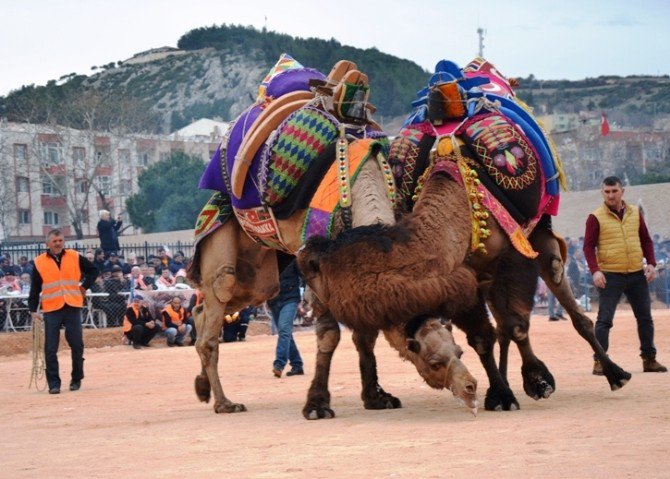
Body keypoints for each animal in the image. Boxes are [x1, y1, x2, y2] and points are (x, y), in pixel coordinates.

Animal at [186, 55, 480, 416]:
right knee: (217, 305)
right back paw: (225, 402)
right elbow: (329, 335)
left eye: (460, 351)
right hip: (223, 240)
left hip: (259, 272)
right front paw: (317, 404)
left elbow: (365, 335)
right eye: (433, 360)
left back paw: (202, 388)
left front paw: (377, 397)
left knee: (208, 309)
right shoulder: (313, 262)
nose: (470, 386)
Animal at [300, 58, 636, 414]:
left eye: (319, 268)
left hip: (536, 234)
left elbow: (515, 324)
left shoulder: (510, 258)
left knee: (559, 291)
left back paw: (612, 373)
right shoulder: (464, 277)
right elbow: (484, 336)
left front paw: (525, 385)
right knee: (505, 325)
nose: (302, 262)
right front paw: (503, 392)